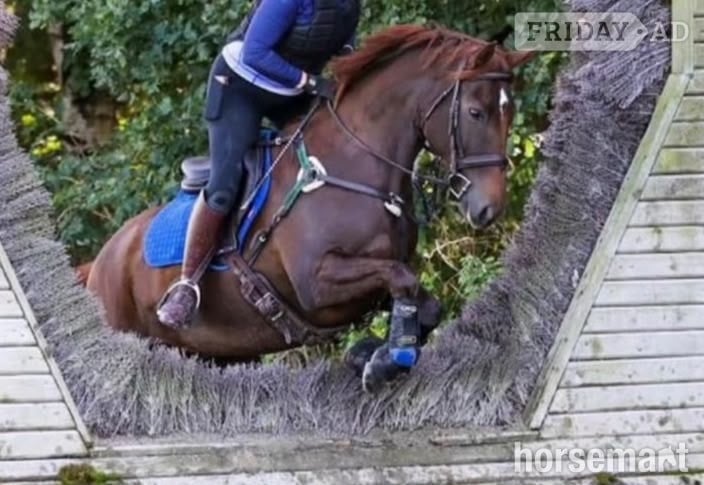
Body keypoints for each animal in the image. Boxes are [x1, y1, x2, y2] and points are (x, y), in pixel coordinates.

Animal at [84, 25, 534, 391]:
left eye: (510, 112)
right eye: (475, 112)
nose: (489, 208)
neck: (354, 166)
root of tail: (103, 259)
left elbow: (425, 304)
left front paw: (373, 355)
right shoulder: (315, 285)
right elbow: (401, 279)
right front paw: (384, 360)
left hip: (212, 352)